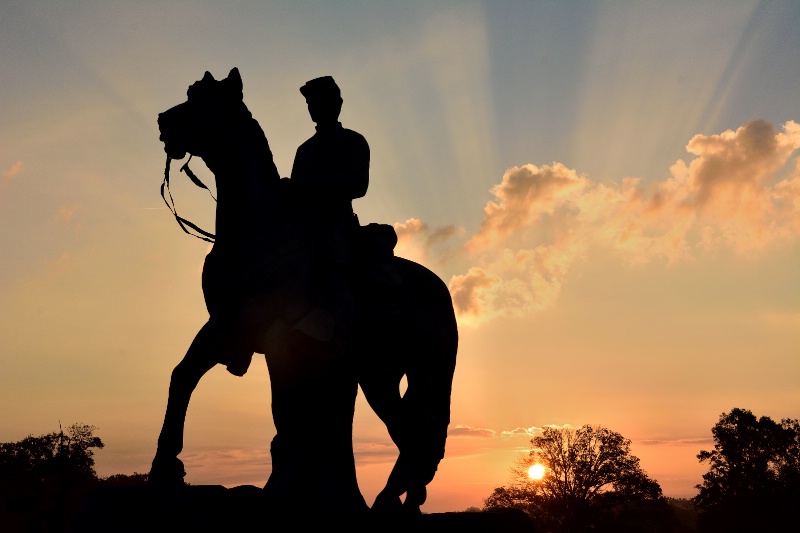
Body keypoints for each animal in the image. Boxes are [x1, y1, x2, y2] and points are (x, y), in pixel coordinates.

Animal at [153, 68, 460, 512]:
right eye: (191, 94)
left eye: (206, 102)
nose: (163, 122)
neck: (257, 232)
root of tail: (439, 290)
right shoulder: (224, 326)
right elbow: (182, 376)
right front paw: (165, 468)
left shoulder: (279, 334)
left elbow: (285, 410)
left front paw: (283, 488)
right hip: (379, 374)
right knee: (408, 431)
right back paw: (397, 499)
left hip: (426, 370)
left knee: (420, 431)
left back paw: (395, 500)